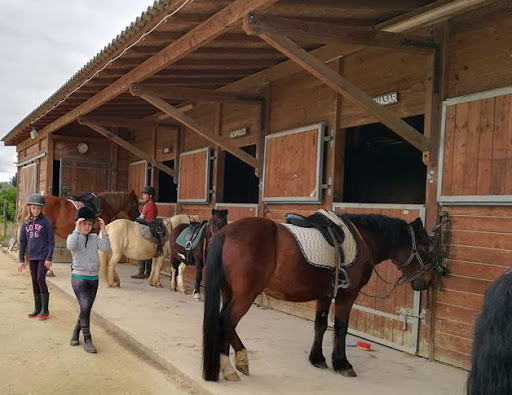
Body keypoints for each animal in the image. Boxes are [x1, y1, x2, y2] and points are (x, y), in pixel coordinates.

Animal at [202, 210, 446, 384]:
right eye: (426, 248)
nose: (427, 281)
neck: (362, 240)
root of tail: (225, 233)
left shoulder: (326, 294)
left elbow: (320, 324)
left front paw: (317, 359)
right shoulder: (348, 294)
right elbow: (340, 326)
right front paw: (342, 364)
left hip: (230, 291)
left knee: (225, 321)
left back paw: (241, 359)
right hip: (246, 294)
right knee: (226, 321)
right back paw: (228, 369)